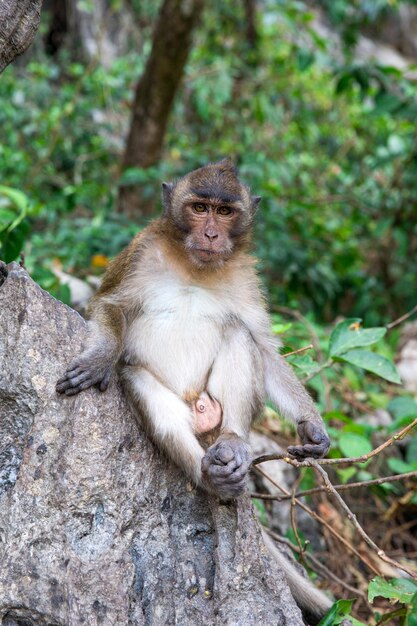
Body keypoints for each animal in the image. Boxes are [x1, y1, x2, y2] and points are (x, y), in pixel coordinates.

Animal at [56, 160, 332, 620]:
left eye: (225, 212)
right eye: (200, 207)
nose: (211, 235)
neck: (194, 268)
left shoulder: (246, 277)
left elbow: (265, 348)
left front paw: (312, 427)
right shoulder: (141, 253)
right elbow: (109, 305)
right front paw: (100, 358)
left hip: (216, 410)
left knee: (238, 335)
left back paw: (233, 445)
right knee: (141, 385)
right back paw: (209, 477)